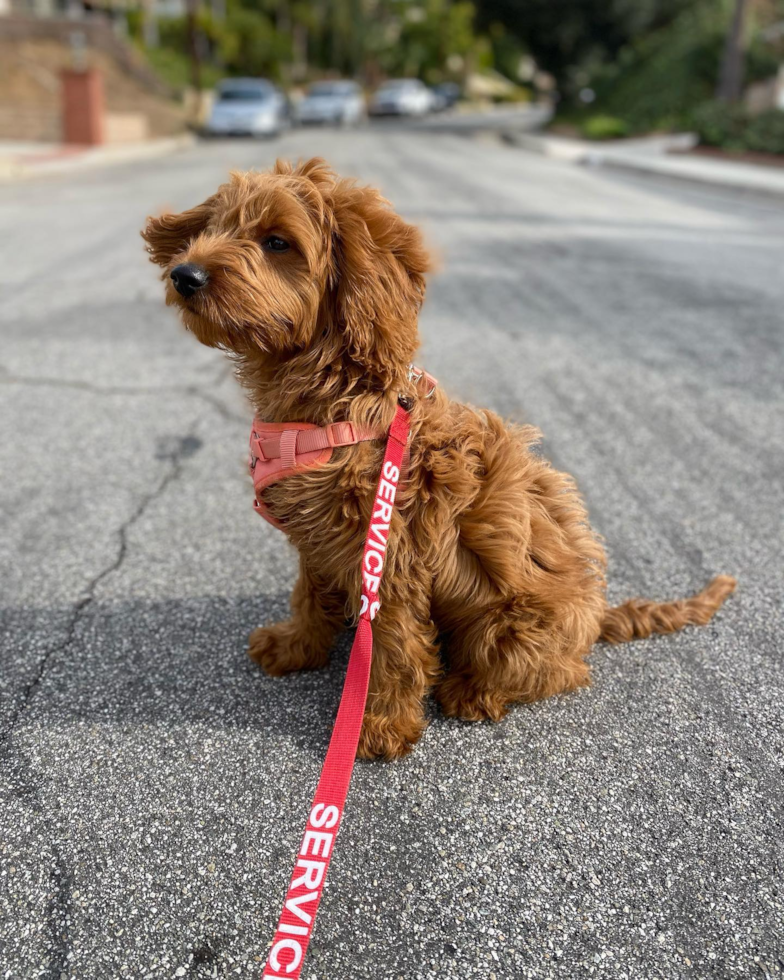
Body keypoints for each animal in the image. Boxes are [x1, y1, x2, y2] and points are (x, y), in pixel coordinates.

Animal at [144, 159, 740, 756]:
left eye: (276, 241)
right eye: (214, 226)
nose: (185, 275)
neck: (342, 401)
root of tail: (595, 619)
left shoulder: (392, 555)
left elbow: (394, 644)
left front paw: (380, 722)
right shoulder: (320, 543)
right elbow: (308, 595)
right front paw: (297, 647)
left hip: (509, 629)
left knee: (558, 672)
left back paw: (475, 691)